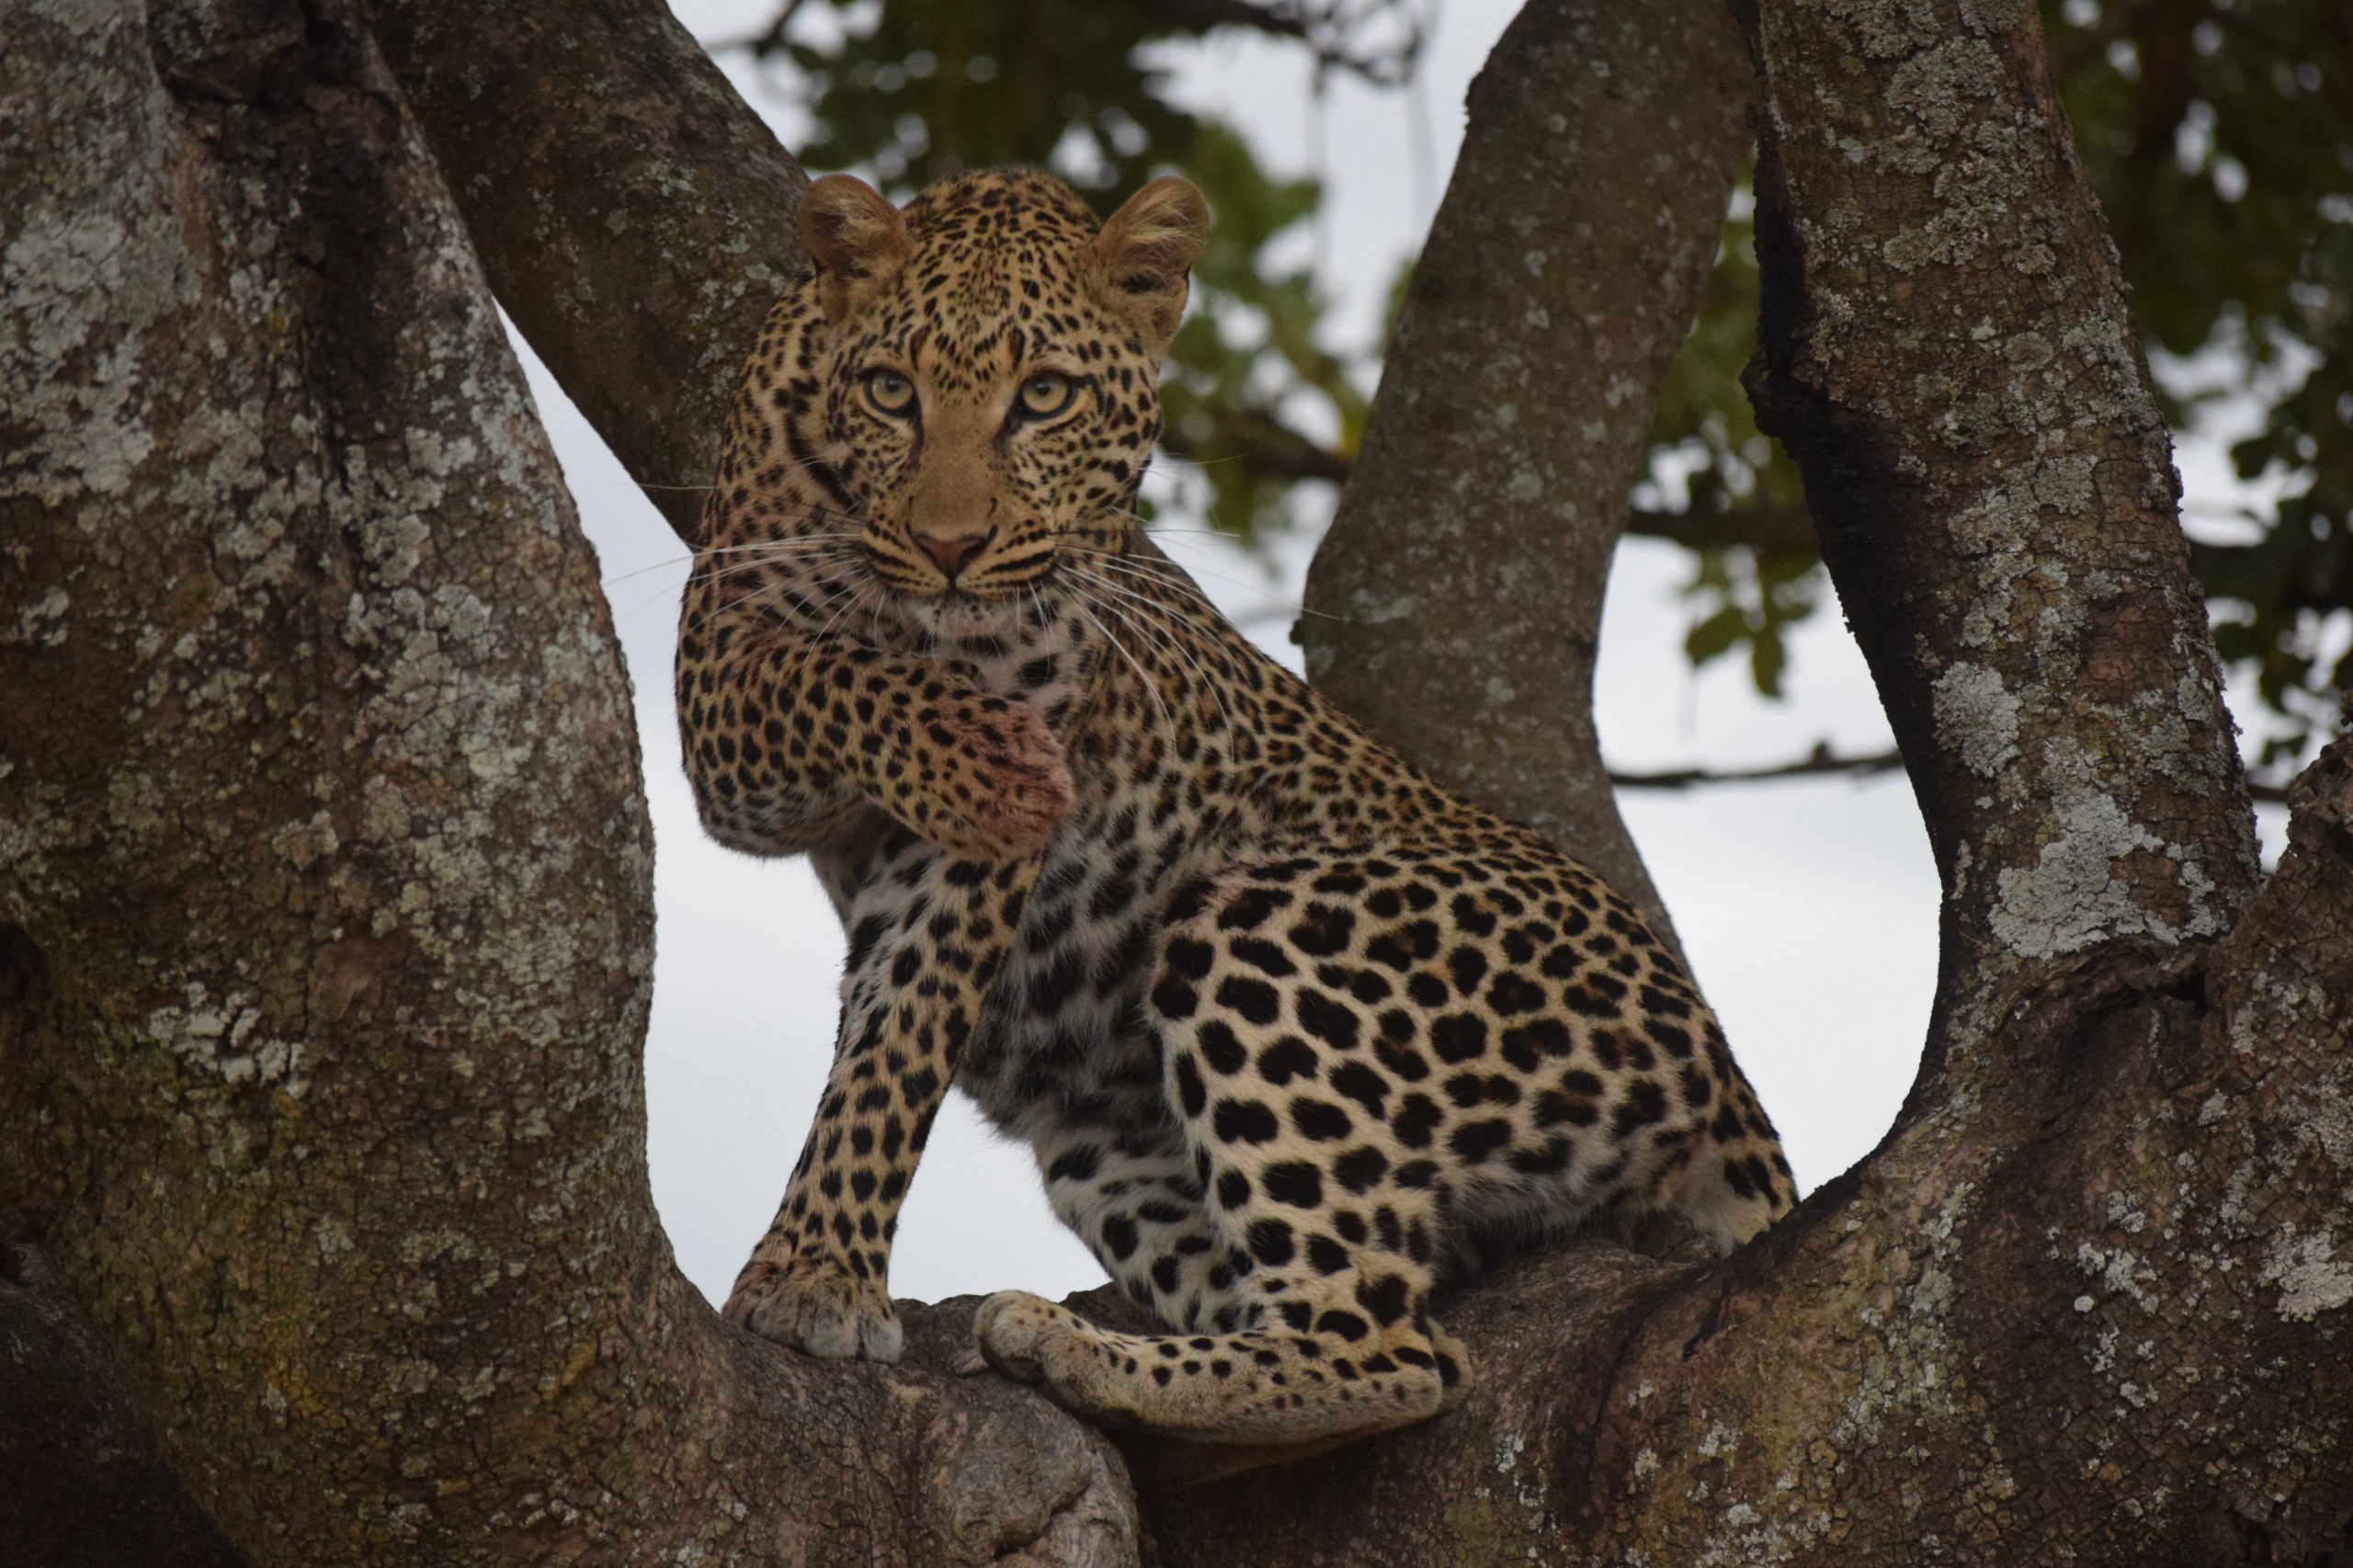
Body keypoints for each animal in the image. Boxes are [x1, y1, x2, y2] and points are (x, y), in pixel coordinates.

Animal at [674, 164, 1796, 1447]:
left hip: (1259, 921)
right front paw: (819, 1271)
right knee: (1376, 1314)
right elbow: (837, 680)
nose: (949, 547)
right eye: (890, 393)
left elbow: (898, 1039)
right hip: (1105, 1143)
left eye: (1043, 397)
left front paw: (817, 1271)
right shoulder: (720, 677)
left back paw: (1064, 1342)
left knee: (1390, 1343)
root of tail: (1714, 1050)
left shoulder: (979, 827)